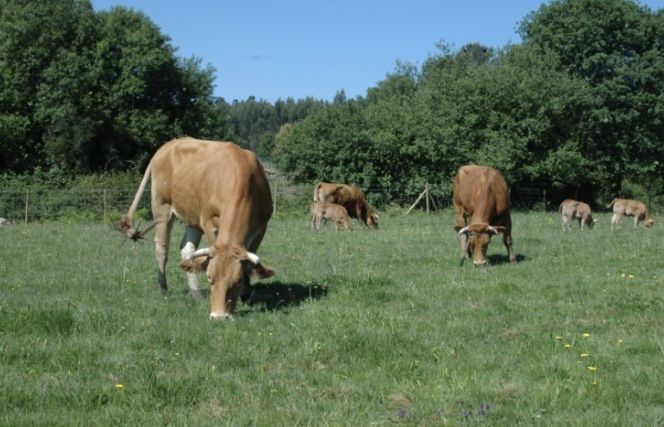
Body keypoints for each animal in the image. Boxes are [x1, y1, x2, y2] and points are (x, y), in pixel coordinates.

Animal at [120, 137, 275, 320]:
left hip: (192, 216)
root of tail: (168, 145)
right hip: (161, 207)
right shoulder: (208, 222)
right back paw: (162, 287)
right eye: (209, 277)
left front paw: (246, 293)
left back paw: (195, 292)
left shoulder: (261, 227)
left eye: (237, 280)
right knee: (162, 248)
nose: (219, 316)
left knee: (186, 249)